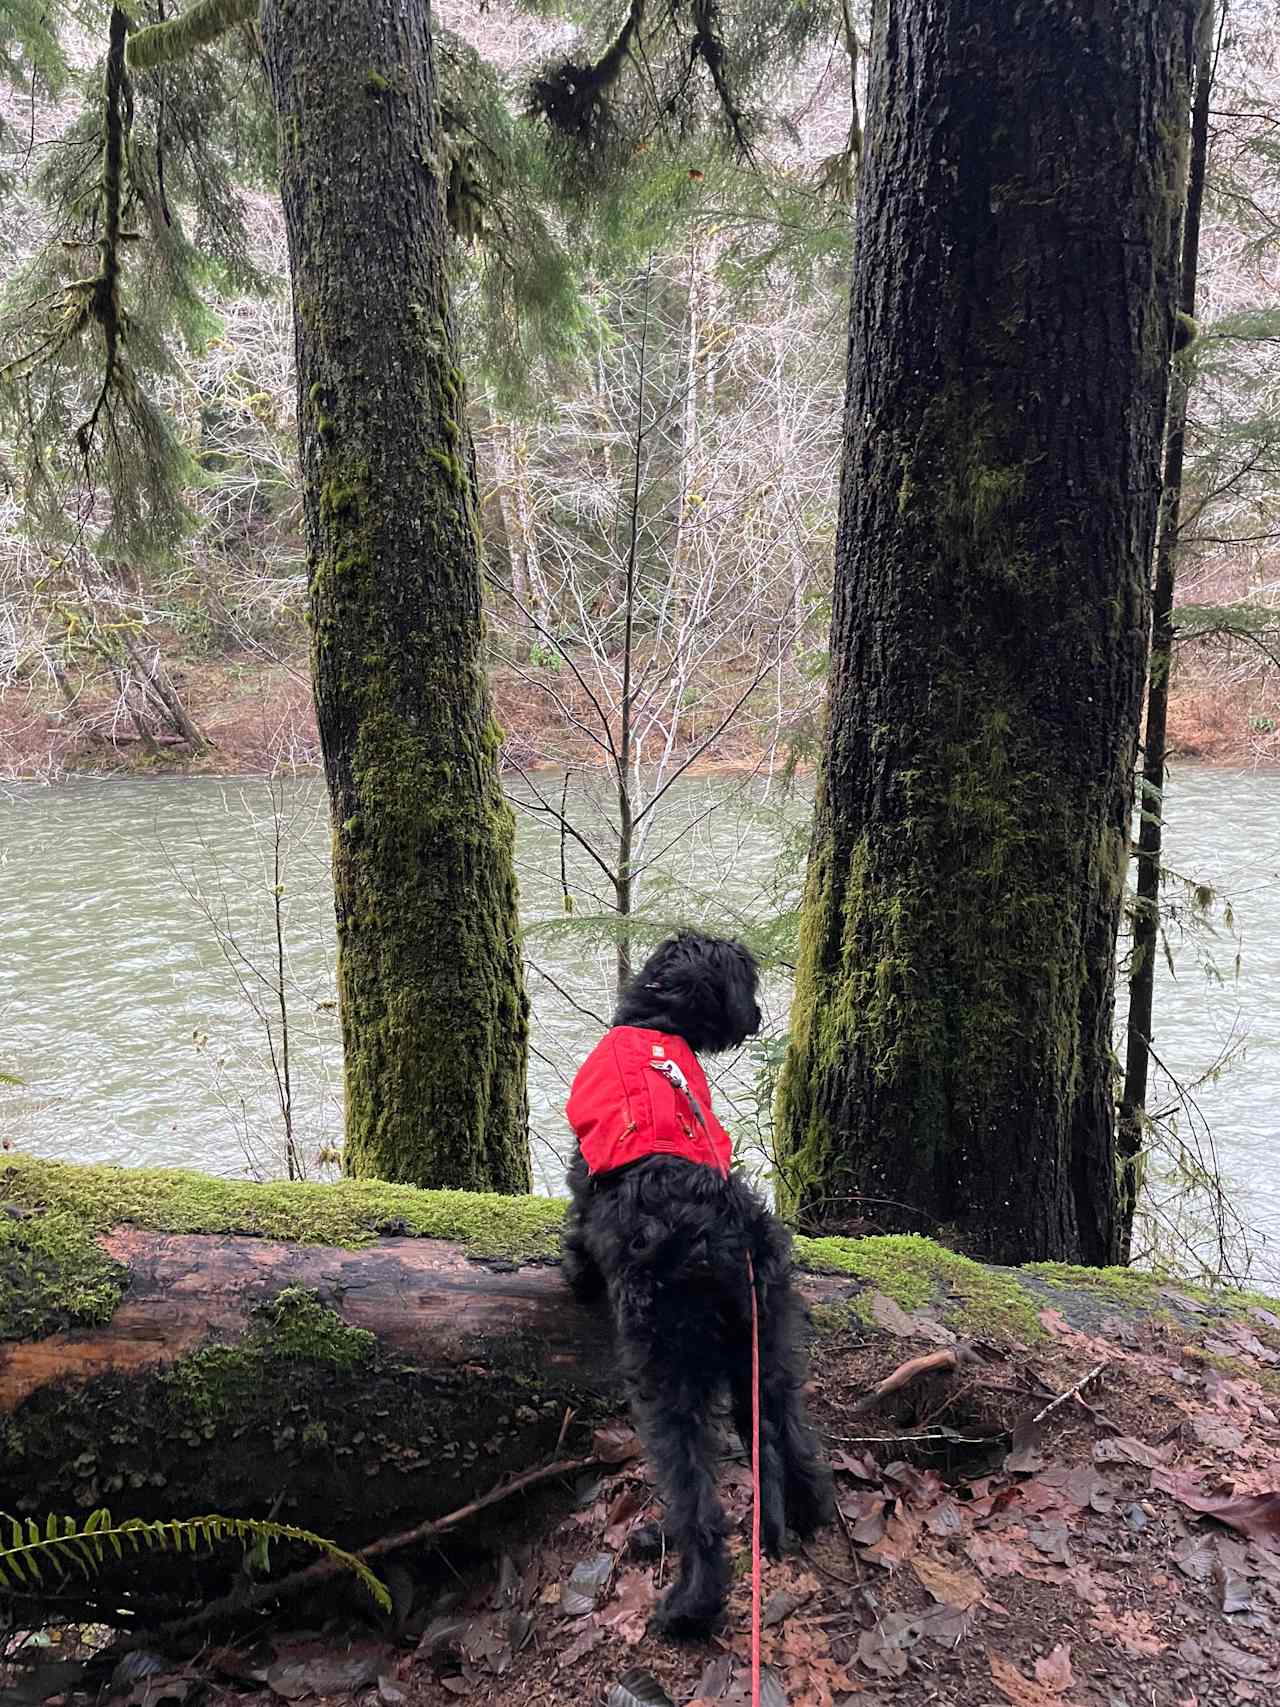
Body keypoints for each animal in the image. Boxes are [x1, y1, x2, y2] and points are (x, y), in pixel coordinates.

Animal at [559, 935, 832, 1638]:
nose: (757, 1017)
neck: (657, 1025)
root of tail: (729, 1235)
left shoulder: (584, 1172)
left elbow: (576, 1224)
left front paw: (575, 1273)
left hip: (670, 1367)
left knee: (698, 1503)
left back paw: (689, 1605)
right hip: (766, 1346)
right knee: (791, 1432)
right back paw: (812, 1511)